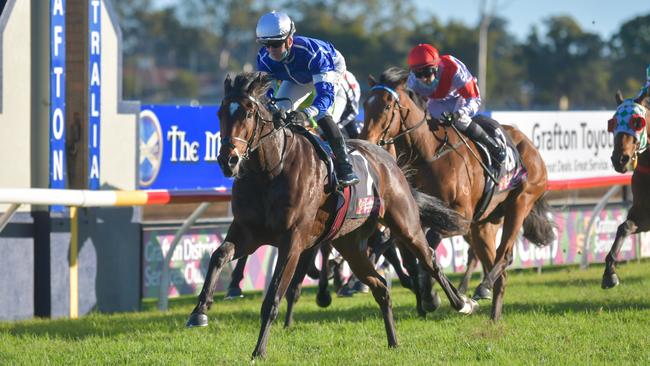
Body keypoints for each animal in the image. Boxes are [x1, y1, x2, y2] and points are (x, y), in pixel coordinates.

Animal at [185, 71, 474, 358]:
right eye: (220, 113)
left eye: (247, 113)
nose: (228, 160)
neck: (270, 172)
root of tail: (387, 159)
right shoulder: (247, 232)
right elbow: (218, 255)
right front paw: (200, 312)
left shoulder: (292, 243)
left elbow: (273, 298)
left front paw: (259, 351)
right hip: (350, 244)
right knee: (381, 286)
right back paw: (393, 341)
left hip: (405, 223)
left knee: (430, 260)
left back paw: (461, 303)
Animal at [360, 68, 552, 320]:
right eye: (365, 104)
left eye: (386, 106)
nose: (366, 140)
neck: (429, 154)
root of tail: (530, 146)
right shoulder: (419, 213)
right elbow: (408, 246)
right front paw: (429, 296)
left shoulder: (459, 217)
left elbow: (429, 248)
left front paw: (433, 296)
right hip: (483, 223)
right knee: (496, 267)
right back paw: (493, 315)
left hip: (520, 202)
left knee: (505, 255)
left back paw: (482, 288)